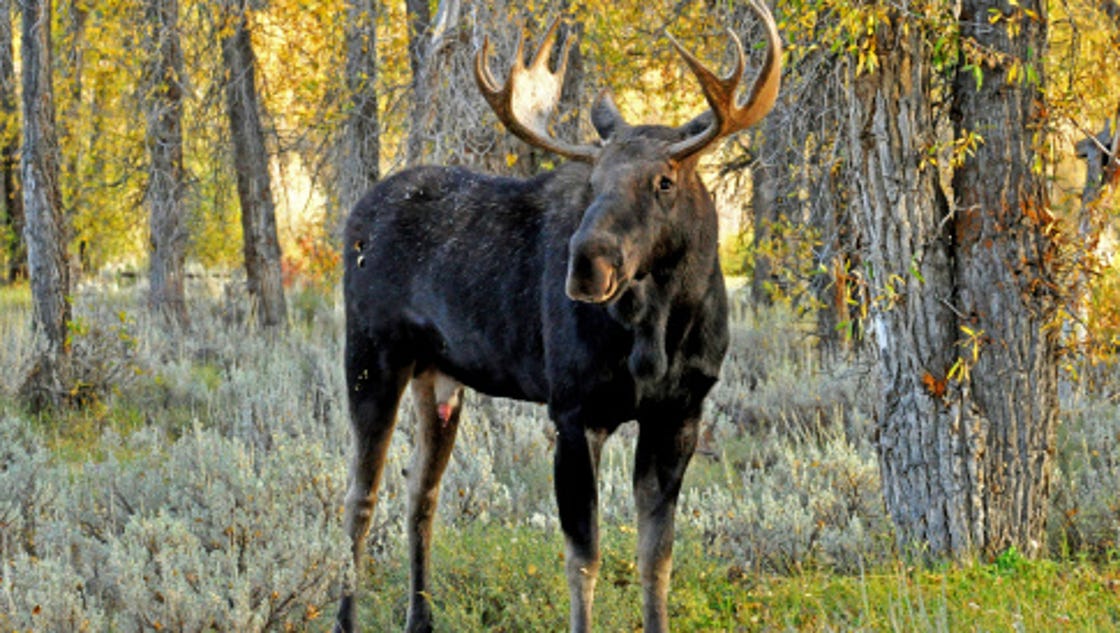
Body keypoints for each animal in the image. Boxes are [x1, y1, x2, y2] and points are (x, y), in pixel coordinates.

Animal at [335, 1, 781, 631]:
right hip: (371, 356)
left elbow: (656, 558)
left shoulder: (680, 412)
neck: (659, 332)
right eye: (592, 182)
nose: (587, 264)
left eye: (664, 180)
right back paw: (347, 617)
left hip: (438, 376)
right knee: (360, 495)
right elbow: (584, 558)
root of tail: (355, 216)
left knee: (421, 492)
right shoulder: (572, 411)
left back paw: (421, 618)